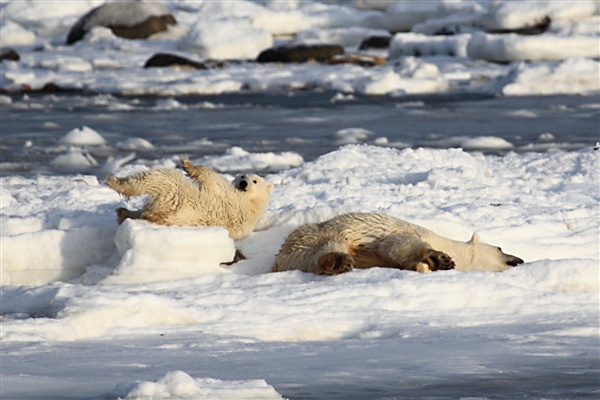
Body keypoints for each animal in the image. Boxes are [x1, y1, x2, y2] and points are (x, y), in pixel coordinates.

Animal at [106, 159, 274, 241]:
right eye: (242, 175)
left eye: (254, 181)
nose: (243, 183)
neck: (253, 204)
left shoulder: (232, 197)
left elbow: (213, 179)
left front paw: (187, 164)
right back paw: (124, 212)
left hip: (173, 192)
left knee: (157, 177)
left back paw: (114, 182)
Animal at [274, 212, 524, 276]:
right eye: (500, 248)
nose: (520, 260)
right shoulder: (408, 231)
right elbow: (400, 245)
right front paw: (440, 259)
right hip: (315, 234)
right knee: (331, 244)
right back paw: (338, 261)